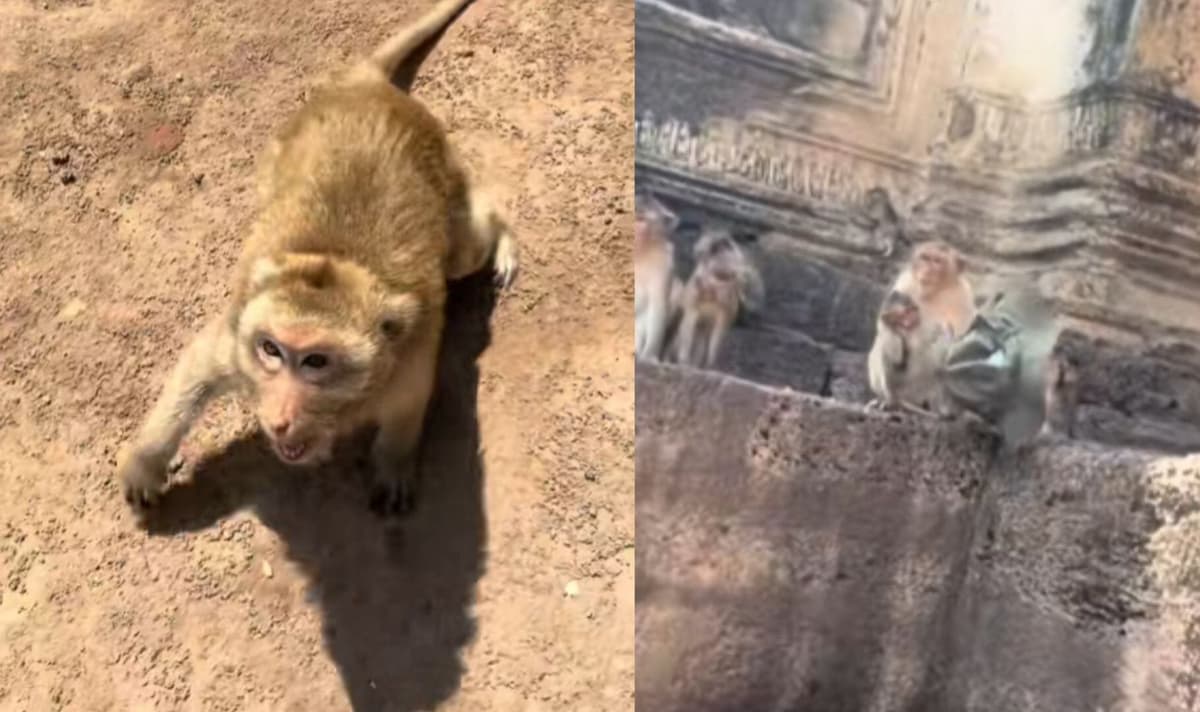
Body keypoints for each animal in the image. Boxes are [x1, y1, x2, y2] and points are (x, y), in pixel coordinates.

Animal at [116, 0, 518, 516]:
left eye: (315, 362)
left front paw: (394, 463)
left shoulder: (405, 363)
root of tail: (365, 86)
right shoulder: (239, 339)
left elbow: (408, 407)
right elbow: (197, 365)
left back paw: (501, 235)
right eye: (271, 350)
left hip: (446, 186)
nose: (279, 420)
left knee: (465, 246)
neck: (335, 264)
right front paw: (144, 462)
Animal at [669, 227, 764, 369]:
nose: (699, 281)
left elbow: (715, 340)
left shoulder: (724, 312)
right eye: (699, 256)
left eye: (716, 249)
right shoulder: (693, 307)